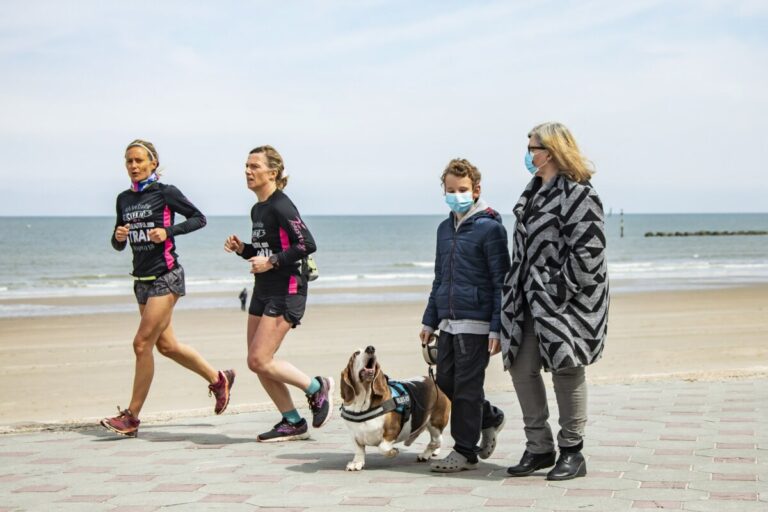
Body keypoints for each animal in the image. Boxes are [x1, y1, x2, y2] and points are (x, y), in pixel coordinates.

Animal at [338, 344, 450, 472]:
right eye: (356, 353)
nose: (370, 348)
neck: (363, 404)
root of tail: (434, 380)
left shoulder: (391, 431)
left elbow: (382, 448)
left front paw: (393, 451)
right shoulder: (354, 435)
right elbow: (359, 450)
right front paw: (357, 463)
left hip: (435, 423)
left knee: (436, 441)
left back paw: (425, 453)